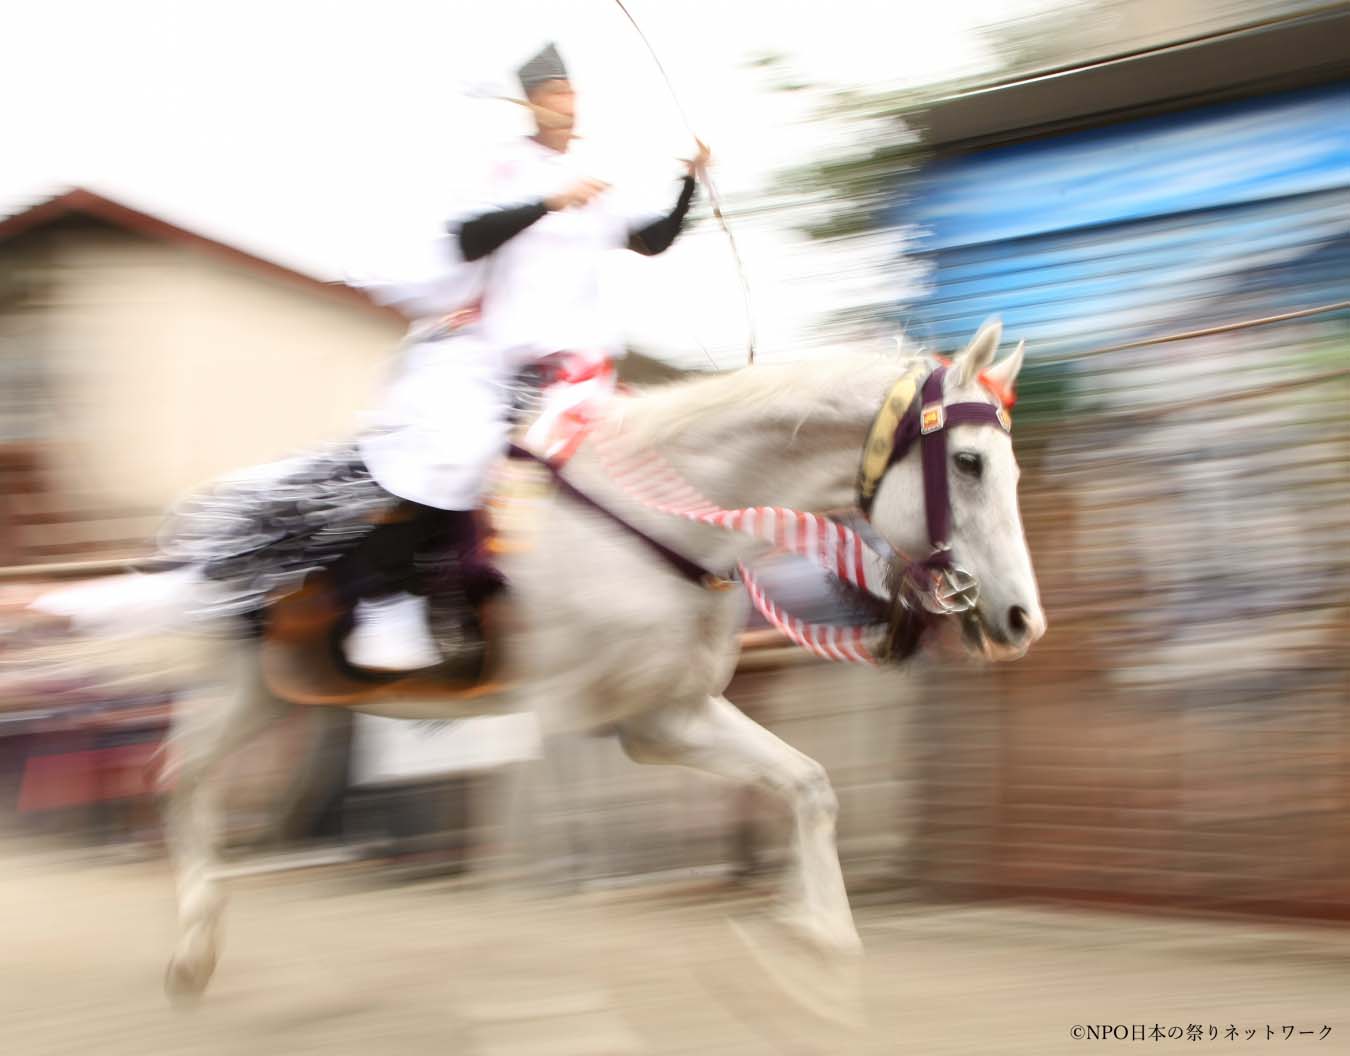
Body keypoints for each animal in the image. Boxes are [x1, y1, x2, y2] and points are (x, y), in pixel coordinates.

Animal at [29, 320, 1042, 999]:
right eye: (970, 464)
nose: (1021, 618)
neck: (667, 517)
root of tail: (206, 527)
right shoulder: (563, 717)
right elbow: (553, 870)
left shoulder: (662, 718)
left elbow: (807, 786)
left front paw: (819, 943)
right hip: (231, 688)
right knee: (179, 786)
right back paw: (192, 951)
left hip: (285, 694)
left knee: (216, 787)